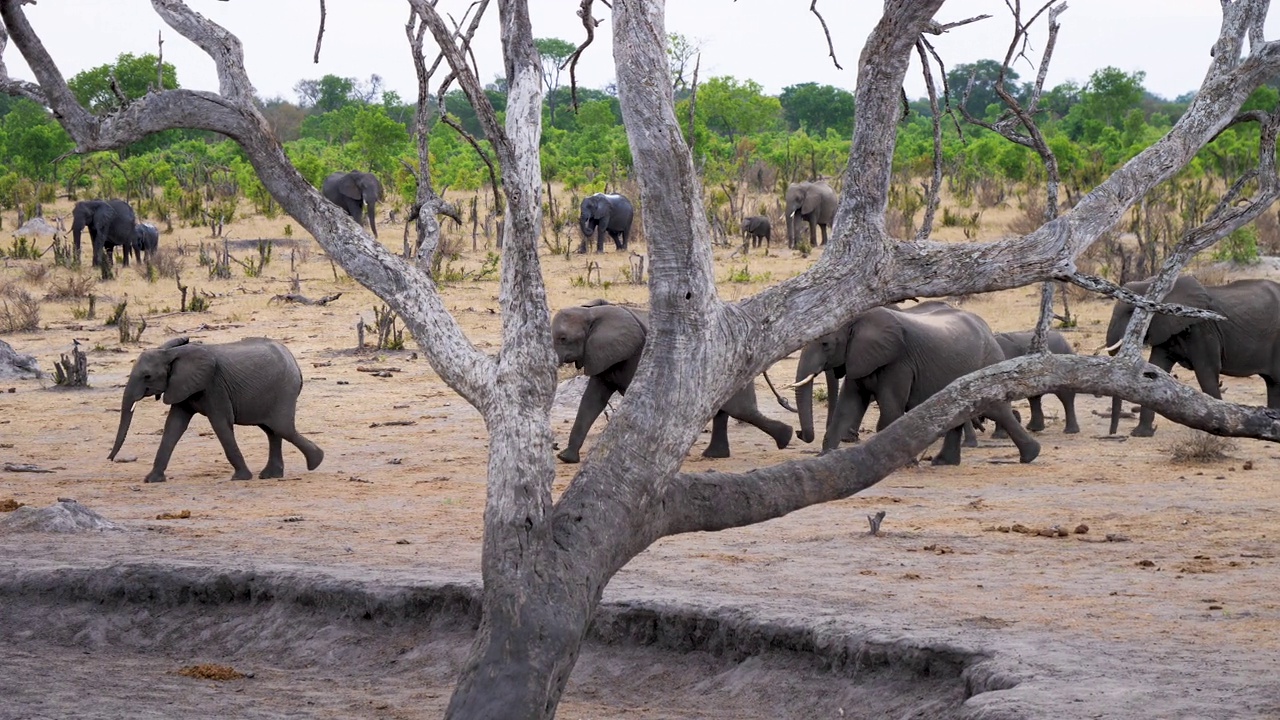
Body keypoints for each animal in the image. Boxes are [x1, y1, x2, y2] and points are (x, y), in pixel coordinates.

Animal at [108, 335, 325, 481]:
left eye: (147, 376)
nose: (110, 459)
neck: (171, 353)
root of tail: (296, 364)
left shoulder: (213, 386)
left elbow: (220, 424)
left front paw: (240, 478)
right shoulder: (182, 387)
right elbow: (173, 426)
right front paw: (152, 479)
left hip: (283, 390)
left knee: (281, 428)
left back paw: (316, 462)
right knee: (272, 430)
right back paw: (272, 475)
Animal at [550, 299, 788, 461]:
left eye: (563, 338)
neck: (591, 313)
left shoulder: (631, 356)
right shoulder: (603, 356)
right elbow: (592, 400)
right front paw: (566, 458)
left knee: (742, 410)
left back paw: (784, 438)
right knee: (726, 410)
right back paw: (715, 455)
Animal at [788, 299, 1039, 461]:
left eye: (825, 344)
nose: (799, 433)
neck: (858, 319)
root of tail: (987, 328)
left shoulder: (899, 362)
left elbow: (890, 409)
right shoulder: (860, 358)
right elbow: (847, 407)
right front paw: (823, 458)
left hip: (987, 363)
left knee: (995, 409)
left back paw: (1030, 455)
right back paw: (942, 462)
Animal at [1100, 272, 1280, 430]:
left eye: (1132, 311)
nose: (1112, 434)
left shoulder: (1202, 328)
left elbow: (1206, 372)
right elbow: (1156, 367)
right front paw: (1141, 433)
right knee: (1272, 383)